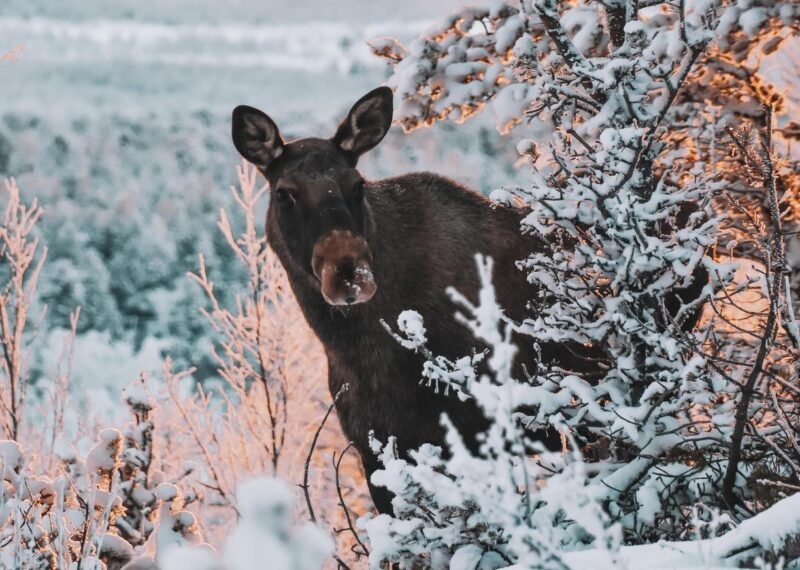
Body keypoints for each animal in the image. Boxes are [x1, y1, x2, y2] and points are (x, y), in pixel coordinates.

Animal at [230, 87, 706, 514]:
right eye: (284, 192)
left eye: (356, 185)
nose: (349, 270)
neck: (353, 346)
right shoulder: (379, 449)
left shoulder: (479, 437)